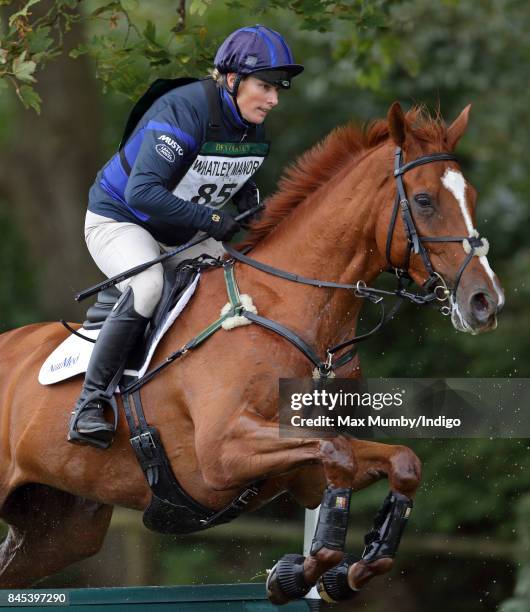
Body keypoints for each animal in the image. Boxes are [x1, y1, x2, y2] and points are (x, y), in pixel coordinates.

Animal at [0, 103, 500, 600]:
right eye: (424, 201)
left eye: (472, 197)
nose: (485, 301)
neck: (296, 311)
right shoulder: (223, 453)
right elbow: (336, 453)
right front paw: (300, 572)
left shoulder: (300, 473)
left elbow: (399, 462)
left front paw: (345, 569)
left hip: (59, 530)